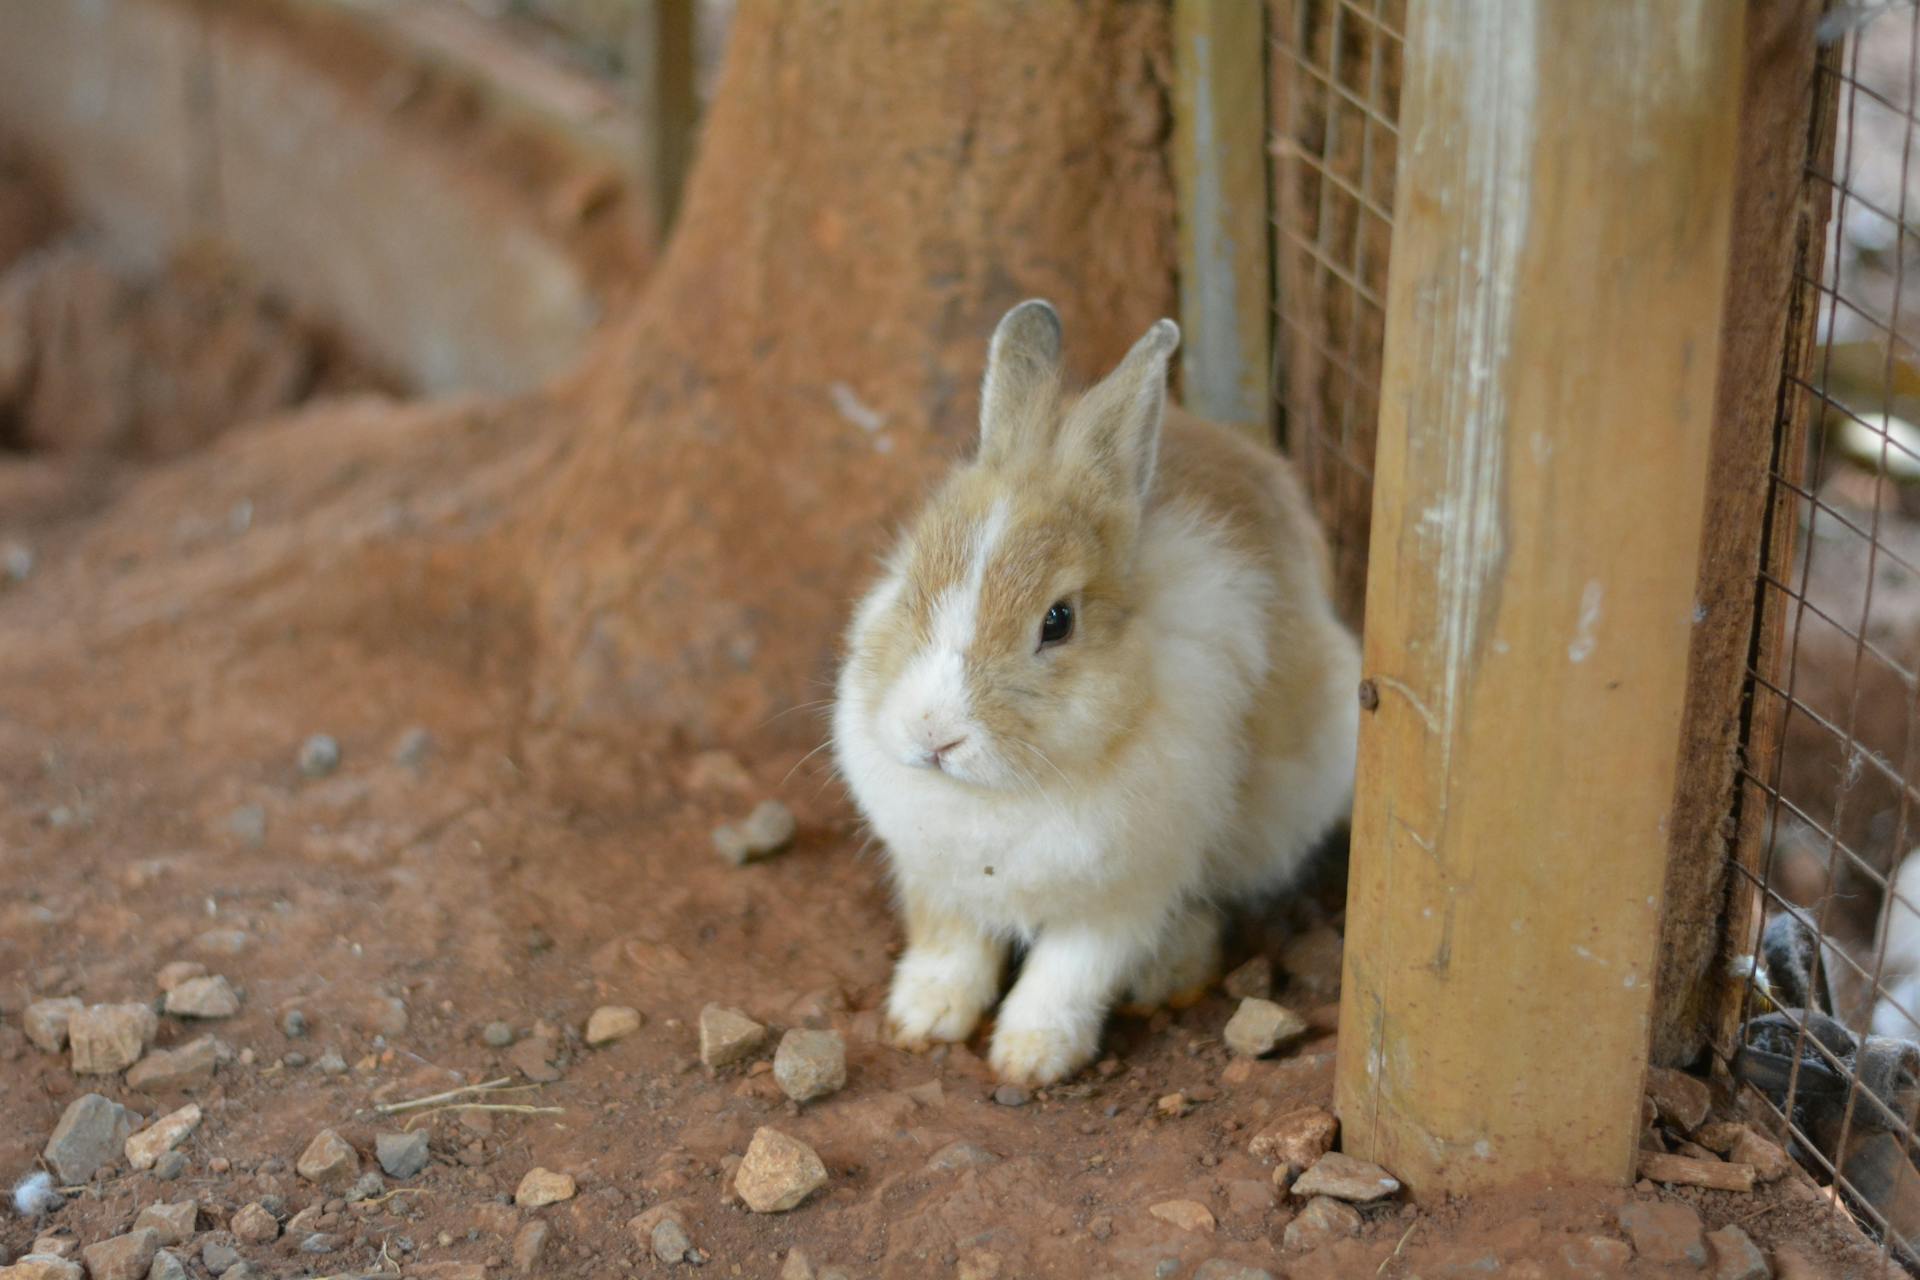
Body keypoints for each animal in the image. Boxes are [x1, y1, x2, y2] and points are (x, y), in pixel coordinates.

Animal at [833, 303, 1359, 1090]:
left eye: (1058, 622)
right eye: (911, 582)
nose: (934, 735)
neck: (1001, 795)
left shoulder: (1123, 893)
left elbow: (1067, 972)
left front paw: (1030, 1056)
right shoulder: (938, 878)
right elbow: (950, 947)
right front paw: (923, 1020)